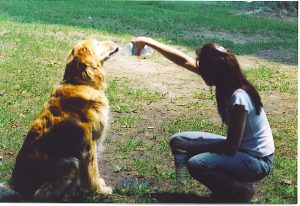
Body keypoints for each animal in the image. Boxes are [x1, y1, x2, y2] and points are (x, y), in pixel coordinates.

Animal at [6, 38, 118, 201]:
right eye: (97, 43)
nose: (116, 40)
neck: (80, 82)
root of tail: (16, 188)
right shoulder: (88, 145)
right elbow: (92, 171)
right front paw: (99, 190)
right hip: (70, 162)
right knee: (42, 195)